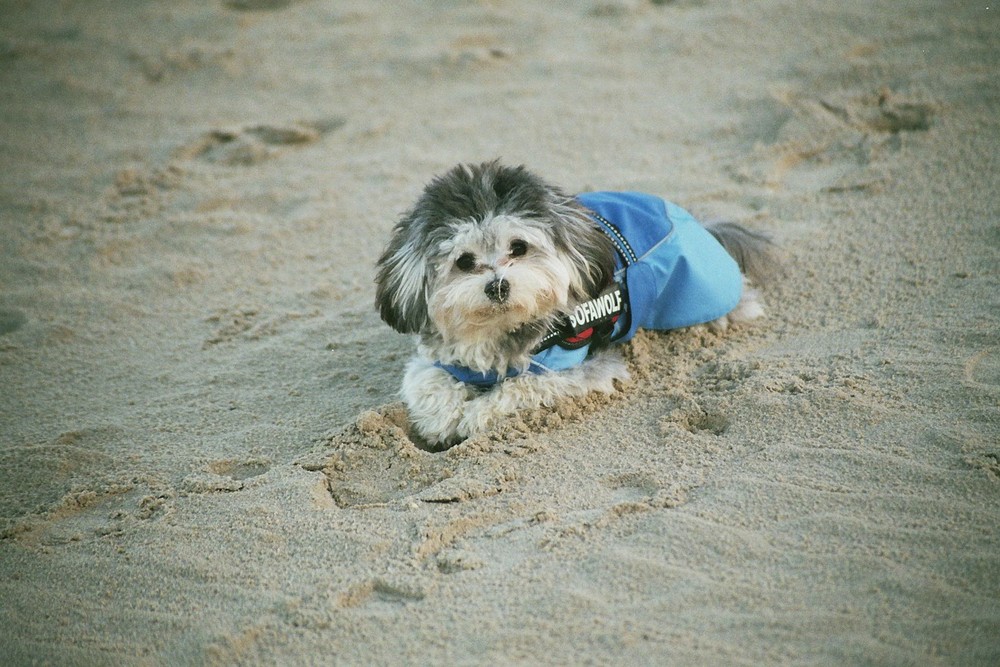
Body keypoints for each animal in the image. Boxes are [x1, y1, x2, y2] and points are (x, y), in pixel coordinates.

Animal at [376, 160, 772, 448]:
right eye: (464, 261)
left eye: (518, 247)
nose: (498, 286)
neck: (498, 332)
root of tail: (700, 225)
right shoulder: (439, 359)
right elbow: (425, 380)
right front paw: (442, 420)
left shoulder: (580, 371)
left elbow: (522, 387)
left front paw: (476, 414)